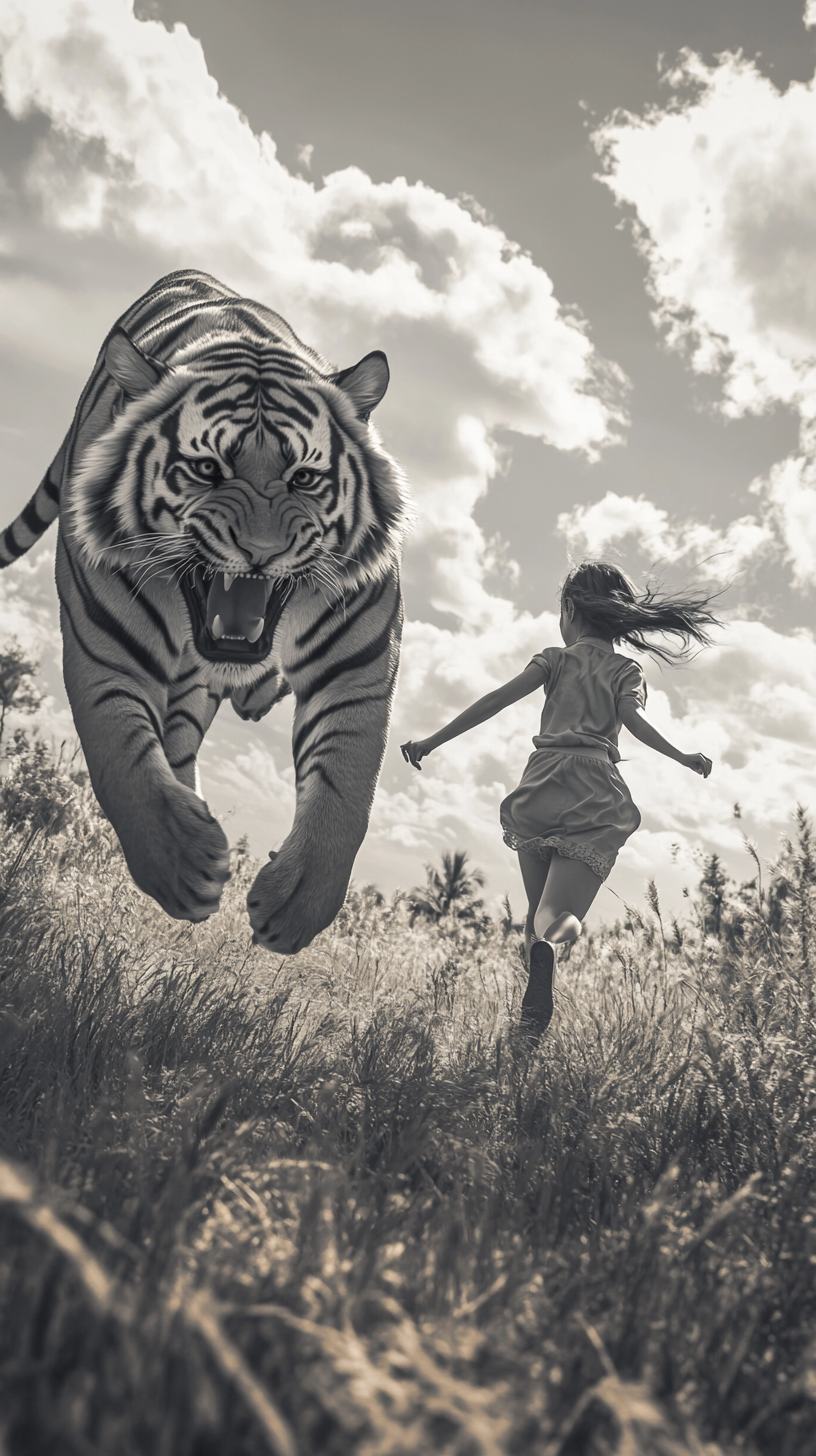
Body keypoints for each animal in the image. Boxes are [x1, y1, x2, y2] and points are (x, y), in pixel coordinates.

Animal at [0, 273, 408, 955]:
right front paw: (181, 865)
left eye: (305, 478)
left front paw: (297, 906)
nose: (262, 553)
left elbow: (347, 785)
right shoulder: (101, 644)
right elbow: (120, 754)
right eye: (206, 469)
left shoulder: (360, 661)